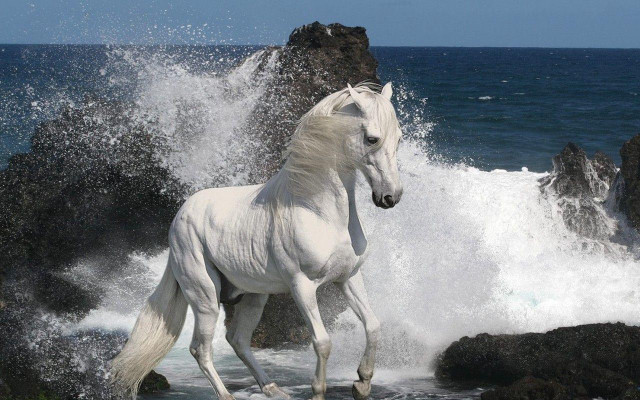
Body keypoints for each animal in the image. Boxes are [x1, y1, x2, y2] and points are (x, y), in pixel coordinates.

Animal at [111, 81, 403, 400]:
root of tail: (179, 216)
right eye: (372, 138)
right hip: (205, 297)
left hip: (253, 295)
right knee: (201, 349)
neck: (318, 211)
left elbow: (373, 325)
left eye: (399, 139)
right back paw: (228, 395)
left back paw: (273, 389)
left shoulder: (348, 277)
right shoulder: (302, 286)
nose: (390, 197)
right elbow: (323, 342)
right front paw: (320, 391)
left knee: (237, 339)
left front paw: (362, 383)